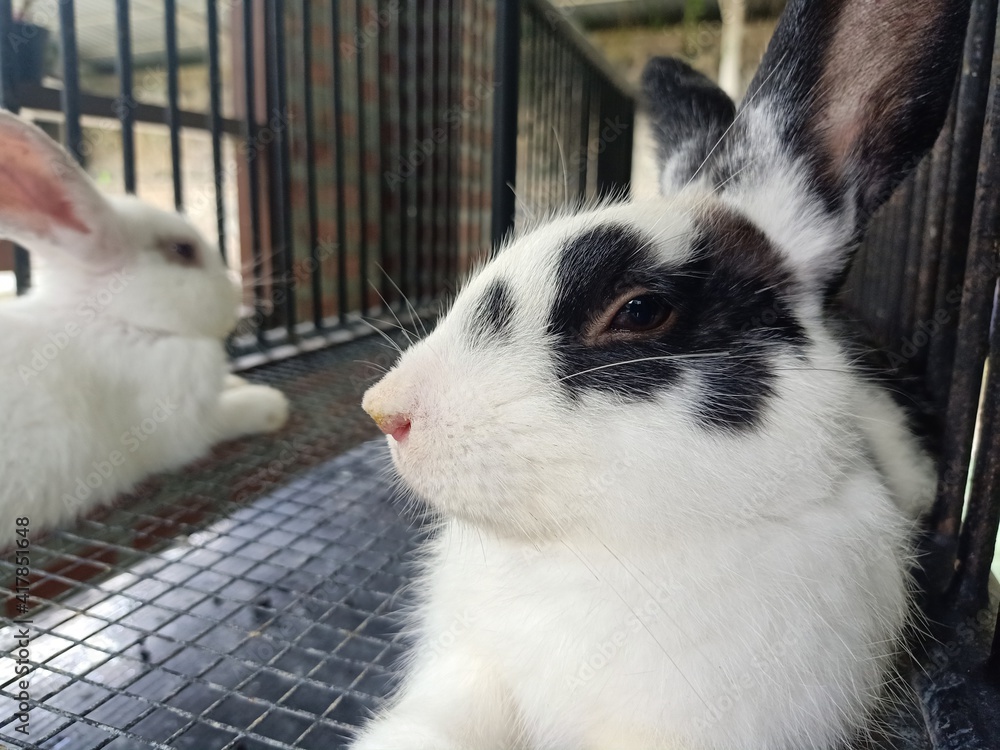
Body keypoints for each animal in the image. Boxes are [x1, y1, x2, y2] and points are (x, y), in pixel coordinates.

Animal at [0, 111, 289, 551]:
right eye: (183, 251)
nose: (233, 295)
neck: (118, 321)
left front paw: (239, 382)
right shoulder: (185, 426)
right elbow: (228, 417)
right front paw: (271, 404)